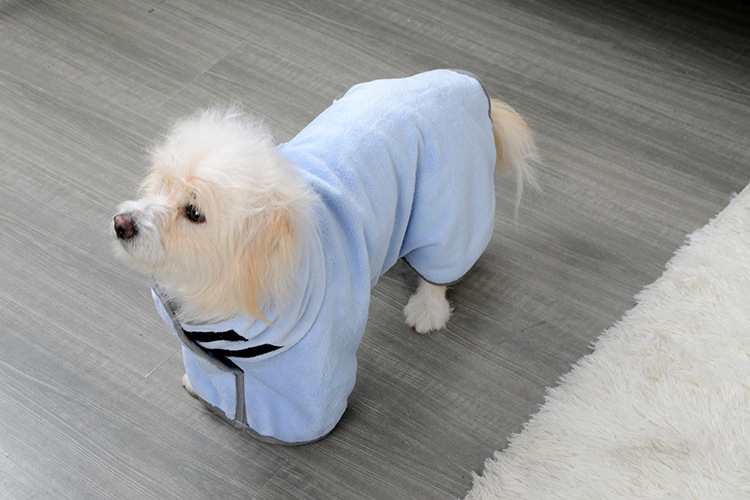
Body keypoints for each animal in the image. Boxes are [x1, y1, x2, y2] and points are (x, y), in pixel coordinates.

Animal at [113, 68, 540, 444]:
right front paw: (203, 389)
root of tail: (463, 84)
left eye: (194, 213)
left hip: (445, 215)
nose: (121, 223)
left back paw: (427, 309)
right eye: (161, 183)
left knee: (439, 271)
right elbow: (217, 376)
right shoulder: (207, 350)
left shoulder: (309, 365)